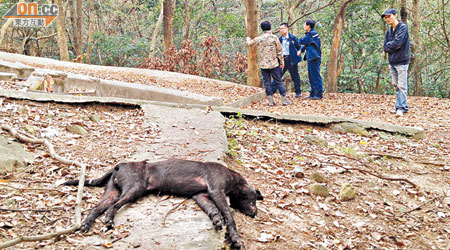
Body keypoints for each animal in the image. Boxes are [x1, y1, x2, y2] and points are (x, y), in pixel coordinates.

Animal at [61, 159, 262, 249]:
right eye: (253, 199)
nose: (255, 213)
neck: (234, 179)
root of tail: (119, 166)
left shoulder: (202, 196)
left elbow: (213, 211)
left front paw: (216, 220)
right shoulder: (216, 191)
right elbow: (229, 215)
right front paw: (236, 239)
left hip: (111, 193)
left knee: (96, 209)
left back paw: (86, 225)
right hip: (134, 188)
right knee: (113, 207)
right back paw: (109, 221)